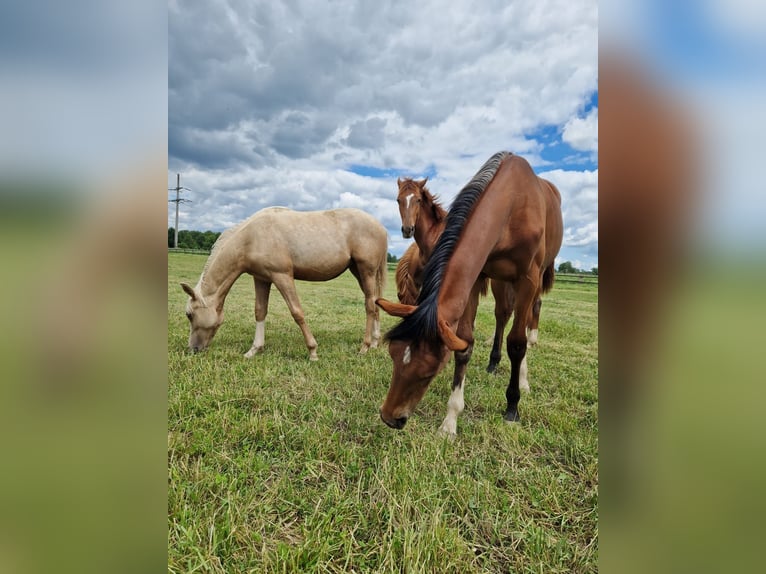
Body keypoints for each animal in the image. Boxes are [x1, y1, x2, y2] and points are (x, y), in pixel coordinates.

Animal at [182, 207, 390, 360]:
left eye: (190, 315)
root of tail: (381, 227)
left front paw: (312, 351)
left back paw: (364, 347)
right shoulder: (262, 278)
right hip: (359, 272)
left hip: (366, 271)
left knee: (369, 306)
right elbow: (260, 311)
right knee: (375, 303)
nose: (193, 349)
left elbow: (297, 312)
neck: (251, 238)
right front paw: (254, 350)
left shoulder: (282, 276)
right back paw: (374, 342)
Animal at [392, 178, 548, 380]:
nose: (407, 230)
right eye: (398, 200)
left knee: (521, 309)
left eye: (418, 200)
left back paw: (528, 344)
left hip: (504, 282)